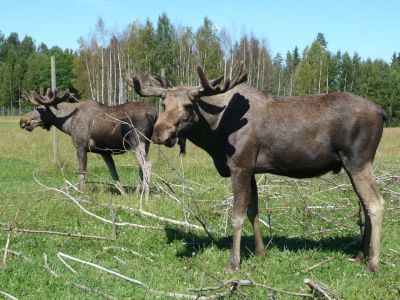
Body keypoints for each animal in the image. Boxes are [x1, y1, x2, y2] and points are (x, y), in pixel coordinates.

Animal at [20, 87, 157, 199]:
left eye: (42, 108)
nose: (23, 120)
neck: (68, 123)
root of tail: (154, 114)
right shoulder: (104, 152)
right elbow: (114, 174)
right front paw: (124, 194)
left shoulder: (81, 146)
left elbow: (81, 173)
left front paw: (81, 195)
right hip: (146, 144)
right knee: (141, 167)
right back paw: (137, 193)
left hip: (137, 141)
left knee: (147, 165)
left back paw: (145, 197)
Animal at [125, 63, 388, 272]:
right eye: (163, 102)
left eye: (190, 105)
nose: (159, 133)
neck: (215, 133)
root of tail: (382, 112)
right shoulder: (251, 169)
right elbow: (254, 211)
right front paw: (260, 252)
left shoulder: (240, 165)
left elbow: (237, 215)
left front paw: (234, 262)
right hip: (352, 165)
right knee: (365, 206)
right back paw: (359, 256)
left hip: (358, 161)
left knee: (376, 203)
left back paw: (373, 263)